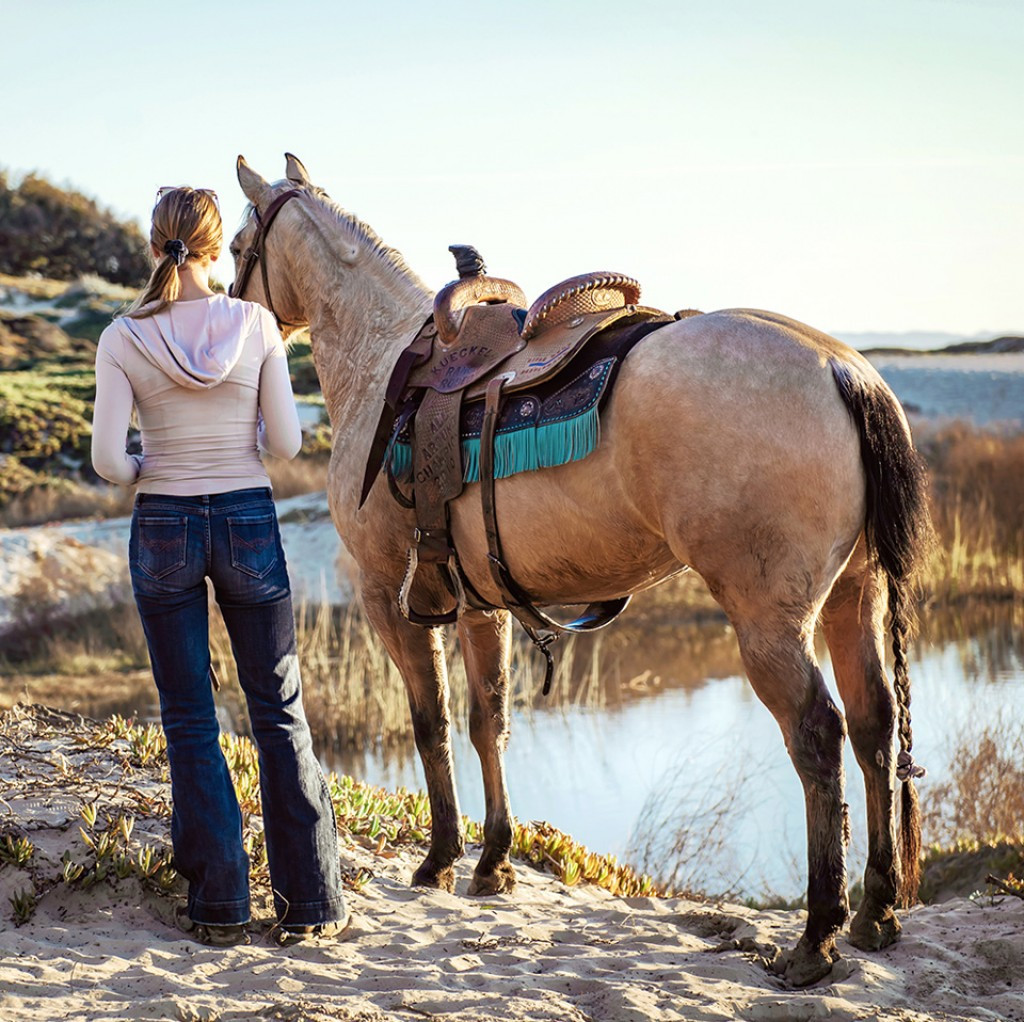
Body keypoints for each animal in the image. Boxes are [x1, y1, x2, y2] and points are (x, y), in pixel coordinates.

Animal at [229, 153, 932, 987]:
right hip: (857, 596)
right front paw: (493, 863)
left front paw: (440, 859)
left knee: (818, 735)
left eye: (237, 243)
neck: (383, 362)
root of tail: (842, 369)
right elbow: (488, 721)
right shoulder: (479, 606)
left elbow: (429, 722)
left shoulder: (388, 598)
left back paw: (815, 936)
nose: (230, 310)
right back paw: (874, 911)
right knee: (874, 725)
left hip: (770, 622)